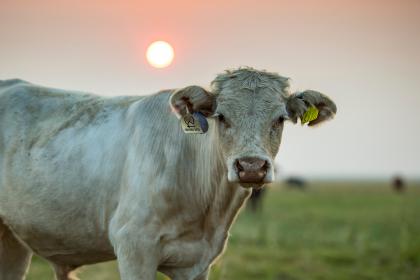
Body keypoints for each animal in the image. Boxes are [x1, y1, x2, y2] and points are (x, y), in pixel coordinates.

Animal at [0, 68, 336, 280]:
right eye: (221, 117)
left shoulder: (199, 262)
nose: (251, 166)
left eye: (279, 119)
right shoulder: (133, 248)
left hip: (13, 240)